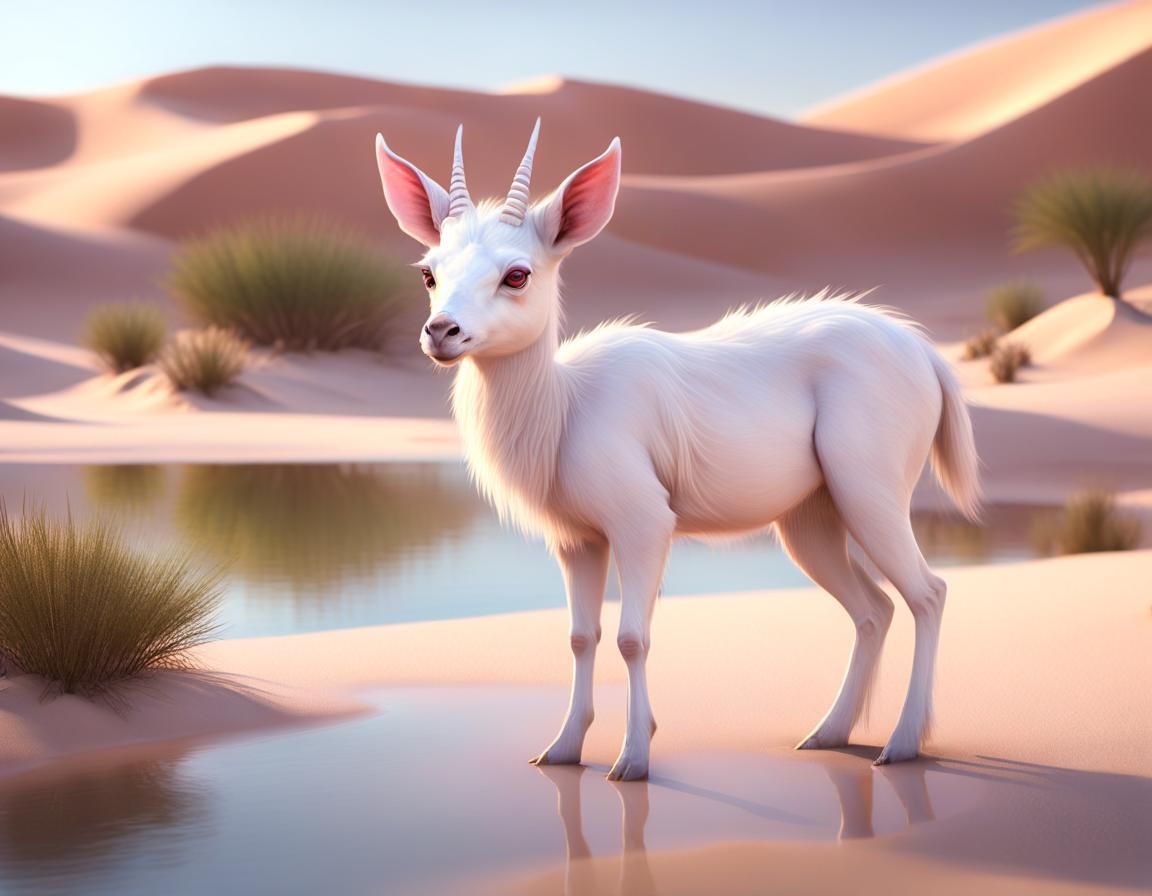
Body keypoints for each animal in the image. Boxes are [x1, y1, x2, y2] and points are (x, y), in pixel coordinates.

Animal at [373, 120, 980, 781]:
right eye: (429, 273)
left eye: (517, 274)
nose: (441, 332)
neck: (564, 407)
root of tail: (922, 350)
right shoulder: (578, 541)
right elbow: (580, 637)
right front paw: (561, 750)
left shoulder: (643, 526)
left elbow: (631, 637)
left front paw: (633, 759)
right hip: (810, 521)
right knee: (874, 609)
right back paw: (826, 734)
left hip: (869, 496)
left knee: (928, 594)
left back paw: (902, 744)